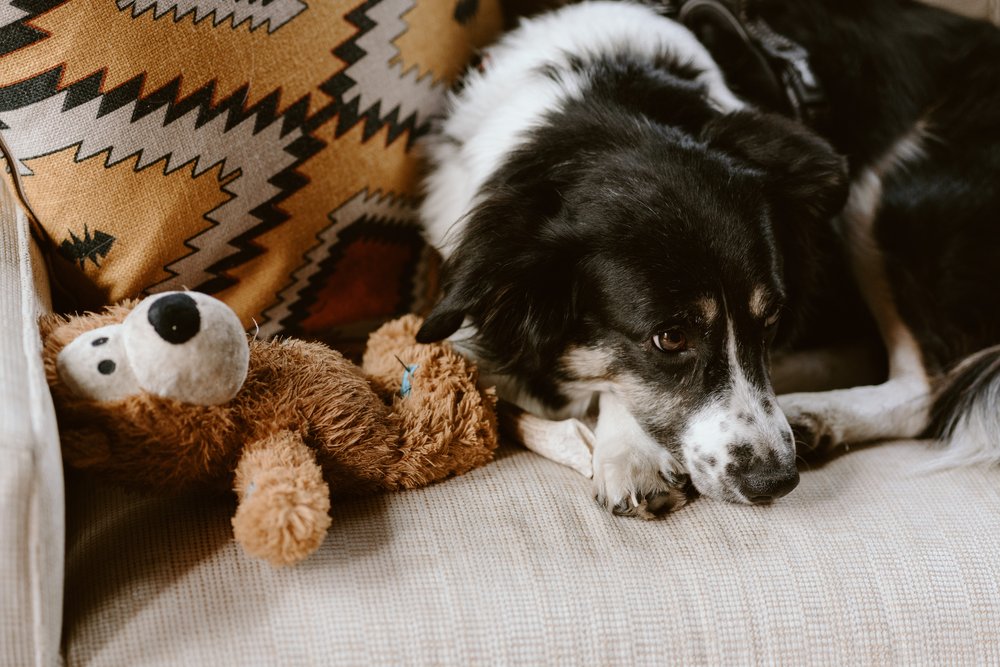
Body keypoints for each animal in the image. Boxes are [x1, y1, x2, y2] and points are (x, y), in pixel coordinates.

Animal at [412, 0, 1000, 516]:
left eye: (772, 317)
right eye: (670, 338)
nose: (776, 482)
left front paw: (628, 453)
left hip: (883, 191)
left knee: (927, 390)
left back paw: (817, 413)